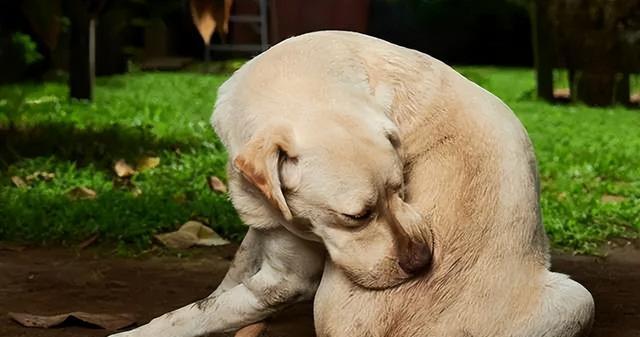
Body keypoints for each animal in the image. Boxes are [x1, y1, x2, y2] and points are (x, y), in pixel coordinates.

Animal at [111, 30, 596, 336]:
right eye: (356, 216)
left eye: (402, 189)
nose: (424, 263)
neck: (304, 76)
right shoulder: (267, 230)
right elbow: (227, 281)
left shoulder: (286, 281)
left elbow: (191, 315)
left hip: (580, 297)